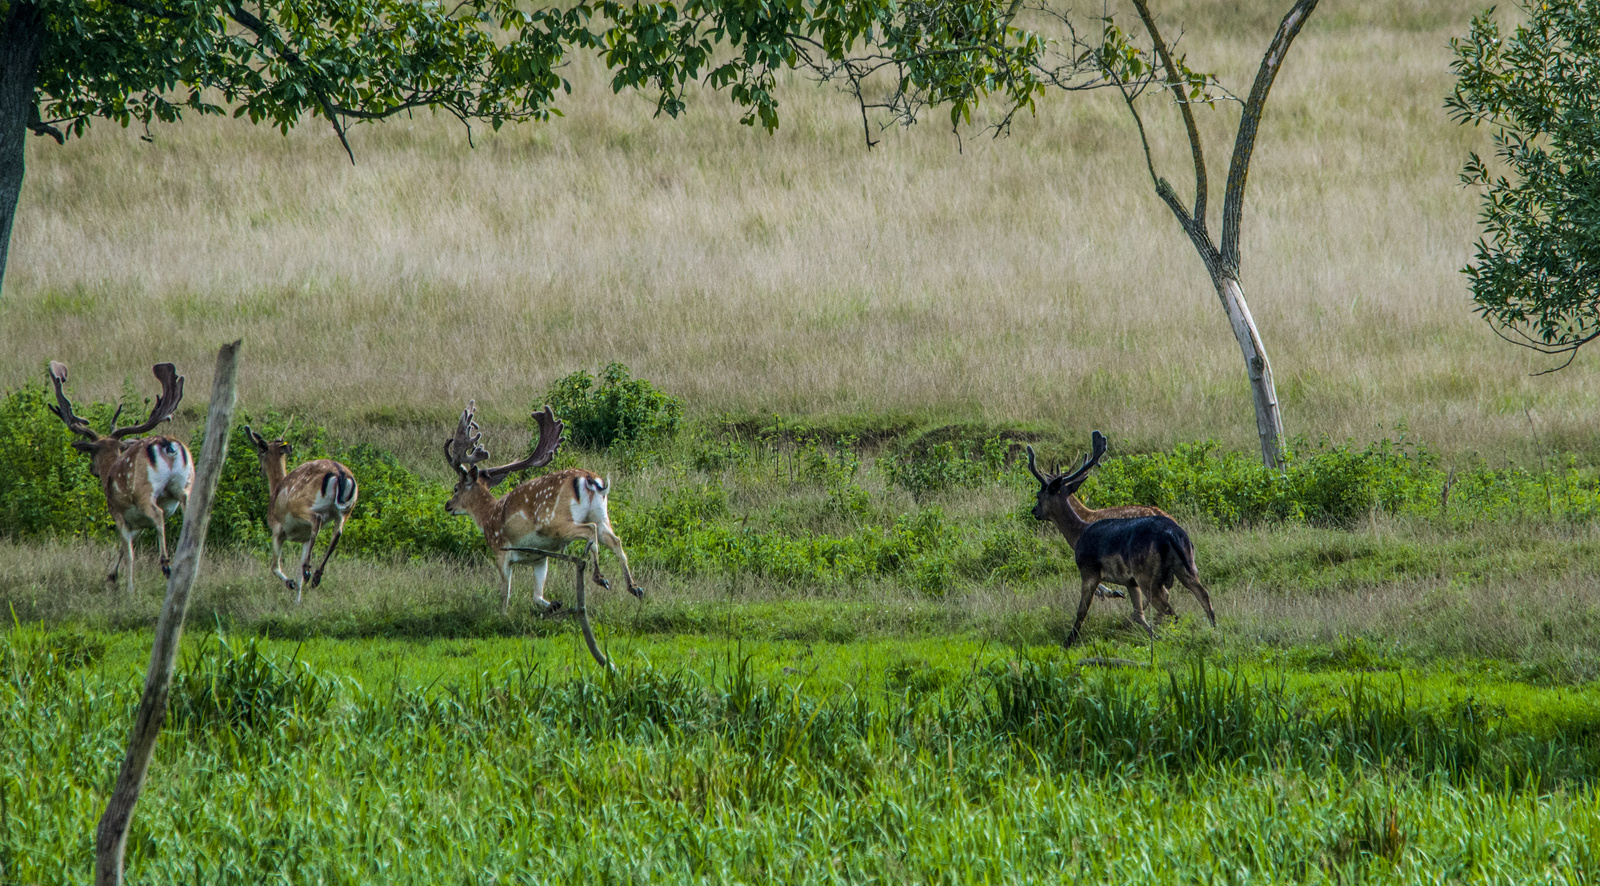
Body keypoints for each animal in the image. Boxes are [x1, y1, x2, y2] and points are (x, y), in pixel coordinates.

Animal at [47, 358, 192, 591]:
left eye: (92, 452)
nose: (93, 470)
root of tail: (167, 445)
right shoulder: (137, 523)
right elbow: (124, 548)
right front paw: (112, 575)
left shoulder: (117, 511)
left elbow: (129, 552)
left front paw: (128, 587)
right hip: (185, 485)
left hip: (143, 491)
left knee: (158, 514)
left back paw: (166, 564)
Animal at [241, 425, 361, 601]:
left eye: (258, 453)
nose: (260, 469)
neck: (275, 491)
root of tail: (340, 474)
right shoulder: (304, 538)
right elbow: (297, 573)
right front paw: (298, 600)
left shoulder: (277, 530)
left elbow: (274, 567)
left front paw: (290, 584)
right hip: (346, 511)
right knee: (337, 533)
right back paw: (316, 576)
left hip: (302, 506)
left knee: (317, 520)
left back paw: (309, 570)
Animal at [441, 399, 640, 614]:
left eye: (456, 488)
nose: (448, 506)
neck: (487, 517)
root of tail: (589, 479)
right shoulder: (539, 558)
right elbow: (537, 596)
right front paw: (554, 604)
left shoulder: (500, 551)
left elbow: (505, 594)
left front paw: (503, 615)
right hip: (601, 515)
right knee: (615, 540)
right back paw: (634, 587)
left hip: (555, 522)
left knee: (589, 531)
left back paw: (600, 577)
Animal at [1030, 431, 1216, 646]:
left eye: (1039, 495)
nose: (1034, 511)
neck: (1079, 531)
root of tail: (1172, 533)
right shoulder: (1130, 581)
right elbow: (1138, 614)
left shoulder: (1088, 570)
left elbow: (1082, 611)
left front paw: (1068, 642)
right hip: (1187, 565)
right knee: (1204, 596)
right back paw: (1212, 631)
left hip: (1148, 575)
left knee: (1170, 610)